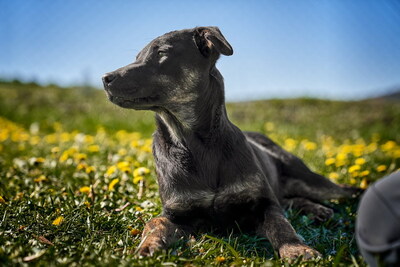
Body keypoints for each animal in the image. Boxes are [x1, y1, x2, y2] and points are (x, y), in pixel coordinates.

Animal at [102, 26, 360, 260]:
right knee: (288, 199)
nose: (105, 78)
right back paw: (316, 209)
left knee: (345, 192)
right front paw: (147, 246)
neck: (196, 143)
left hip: (313, 181)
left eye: (162, 53)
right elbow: (155, 223)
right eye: (137, 57)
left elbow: (281, 225)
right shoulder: (176, 213)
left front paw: (297, 249)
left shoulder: (262, 204)